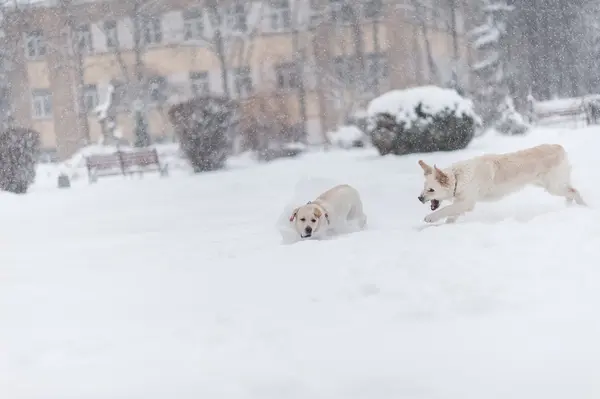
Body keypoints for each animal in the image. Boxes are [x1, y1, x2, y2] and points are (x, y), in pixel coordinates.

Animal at [418, 145, 584, 225]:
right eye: (424, 187)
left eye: (431, 190)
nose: (419, 198)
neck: (458, 177)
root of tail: (559, 147)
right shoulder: (462, 203)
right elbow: (451, 214)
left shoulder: (467, 202)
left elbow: (446, 209)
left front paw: (430, 218)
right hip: (551, 185)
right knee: (571, 191)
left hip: (553, 187)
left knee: (574, 191)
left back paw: (583, 207)